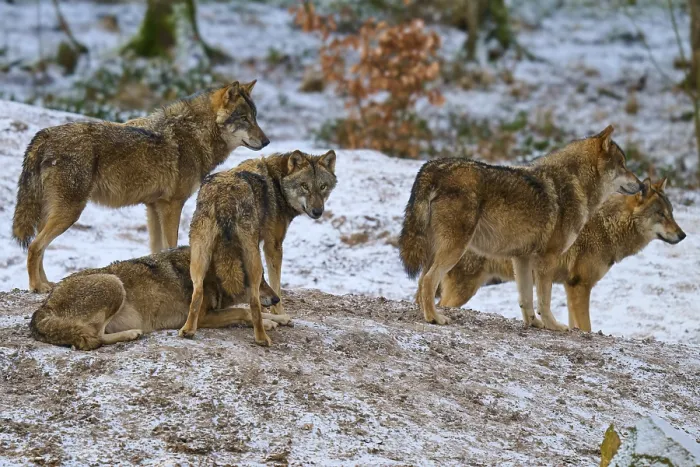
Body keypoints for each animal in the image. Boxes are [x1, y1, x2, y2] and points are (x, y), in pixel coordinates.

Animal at [12, 81, 268, 293]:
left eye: (255, 117)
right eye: (244, 118)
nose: (266, 141)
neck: (196, 134)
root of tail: (45, 134)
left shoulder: (154, 206)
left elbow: (156, 249)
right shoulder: (172, 206)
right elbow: (171, 244)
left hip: (55, 212)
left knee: (39, 246)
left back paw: (46, 283)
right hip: (70, 212)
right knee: (35, 246)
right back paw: (36, 286)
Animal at [29, 246, 290, 351]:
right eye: (260, 282)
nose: (277, 299)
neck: (211, 275)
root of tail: (42, 310)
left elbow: (254, 310)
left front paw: (281, 318)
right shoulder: (199, 318)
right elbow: (243, 311)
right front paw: (269, 323)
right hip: (114, 285)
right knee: (93, 339)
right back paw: (132, 334)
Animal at [179, 149, 337, 346]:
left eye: (322, 187)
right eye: (304, 186)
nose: (318, 212)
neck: (278, 182)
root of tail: (224, 198)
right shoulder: (273, 246)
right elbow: (276, 286)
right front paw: (279, 314)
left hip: (199, 256)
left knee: (197, 294)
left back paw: (188, 330)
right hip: (254, 260)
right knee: (253, 301)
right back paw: (262, 338)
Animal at [399, 125, 644, 330]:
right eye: (623, 165)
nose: (642, 184)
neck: (575, 184)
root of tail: (432, 166)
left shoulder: (522, 258)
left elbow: (526, 299)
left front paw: (534, 324)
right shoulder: (547, 258)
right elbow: (544, 300)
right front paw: (554, 326)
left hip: (436, 251)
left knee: (421, 282)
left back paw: (426, 314)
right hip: (455, 251)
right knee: (428, 280)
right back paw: (435, 318)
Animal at [438, 178, 686, 331]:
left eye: (672, 213)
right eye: (661, 215)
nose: (683, 235)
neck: (607, 227)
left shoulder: (570, 287)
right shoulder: (580, 286)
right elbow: (586, 327)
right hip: (464, 290)